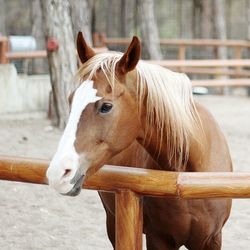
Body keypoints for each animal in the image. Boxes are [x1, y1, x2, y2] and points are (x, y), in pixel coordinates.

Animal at [46, 32, 232, 249]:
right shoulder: (159, 239)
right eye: (70, 100)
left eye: (106, 106)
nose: (57, 174)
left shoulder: (211, 239)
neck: (191, 171)